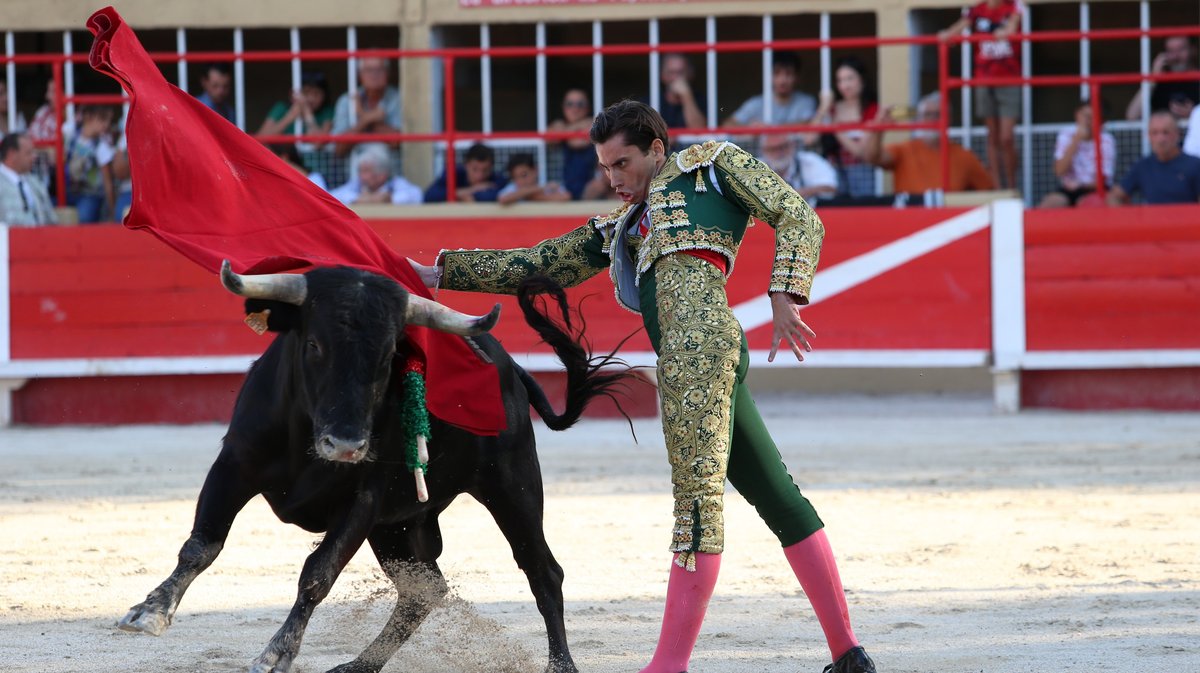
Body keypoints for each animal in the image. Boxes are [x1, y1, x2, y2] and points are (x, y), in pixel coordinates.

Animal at [117, 261, 633, 671]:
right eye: (314, 345)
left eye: (388, 357)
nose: (346, 444)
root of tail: (510, 368)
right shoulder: (233, 465)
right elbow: (201, 545)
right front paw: (149, 611)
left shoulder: (362, 501)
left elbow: (318, 573)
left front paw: (276, 654)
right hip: (400, 526)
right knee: (424, 590)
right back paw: (357, 666)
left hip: (513, 485)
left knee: (542, 572)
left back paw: (561, 666)